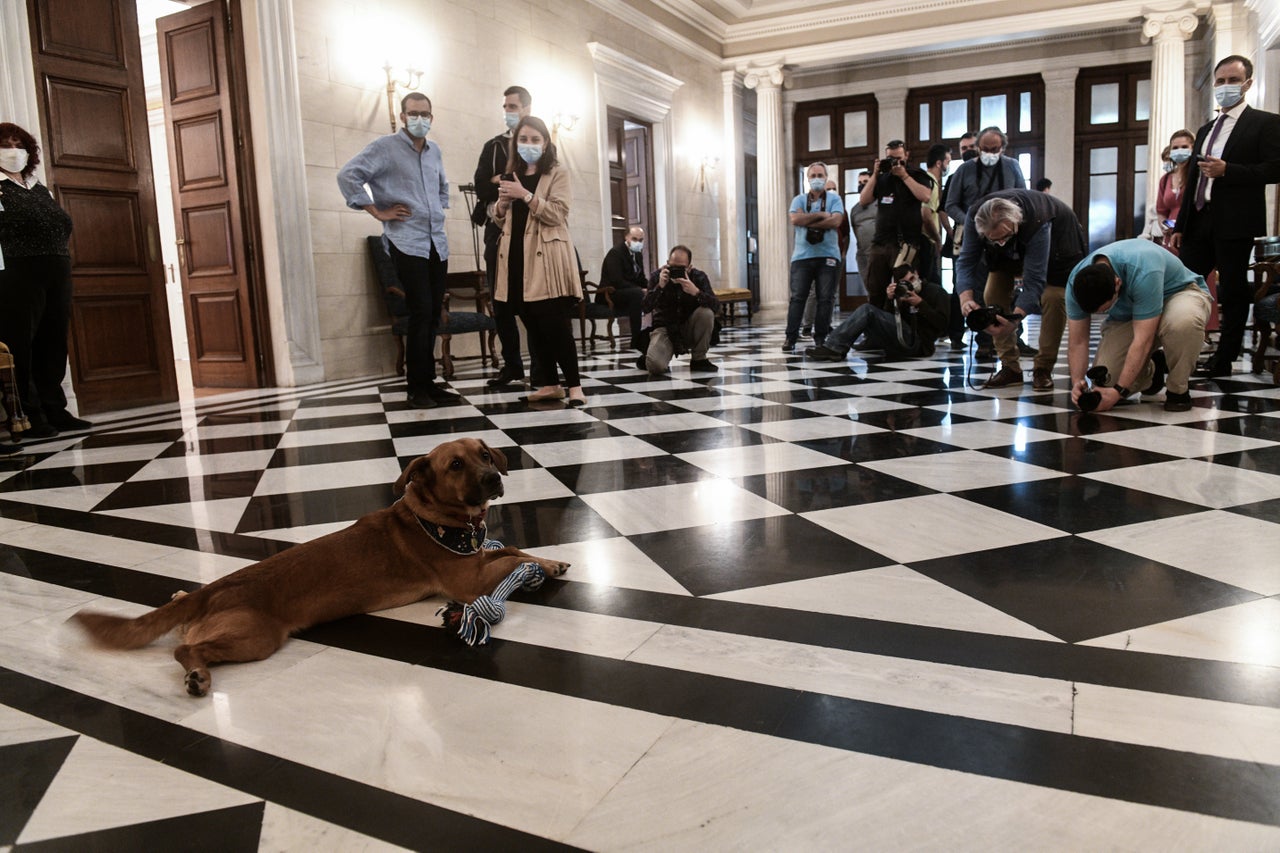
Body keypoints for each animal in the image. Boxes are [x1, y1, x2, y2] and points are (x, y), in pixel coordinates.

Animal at [72, 438, 568, 691]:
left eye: (484, 455)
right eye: (455, 465)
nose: (494, 477)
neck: (438, 520)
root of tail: (211, 590)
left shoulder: (478, 559)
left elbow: (513, 549)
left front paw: (549, 561)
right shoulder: (467, 581)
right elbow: (511, 558)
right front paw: (541, 566)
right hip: (255, 638)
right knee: (185, 651)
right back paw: (197, 674)